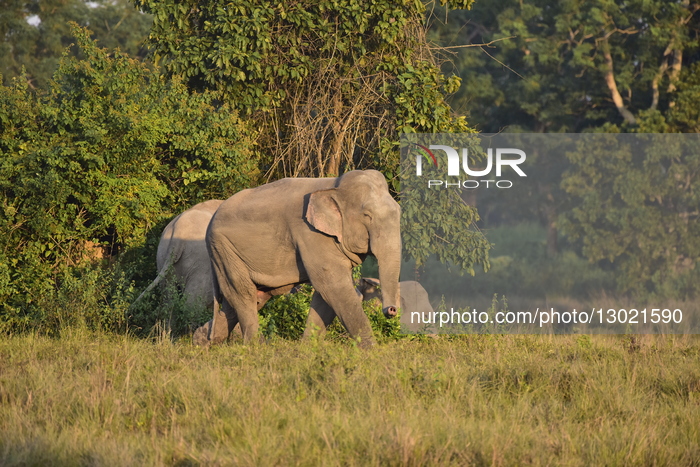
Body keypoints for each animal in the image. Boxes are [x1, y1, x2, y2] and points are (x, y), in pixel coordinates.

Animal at [196, 169, 401, 348]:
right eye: (367, 216)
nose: (391, 310)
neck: (334, 186)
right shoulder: (311, 234)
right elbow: (333, 286)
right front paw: (372, 351)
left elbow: (325, 294)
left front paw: (307, 349)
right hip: (224, 250)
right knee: (243, 294)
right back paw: (256, 347)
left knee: (244, 300)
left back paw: (203, 342)